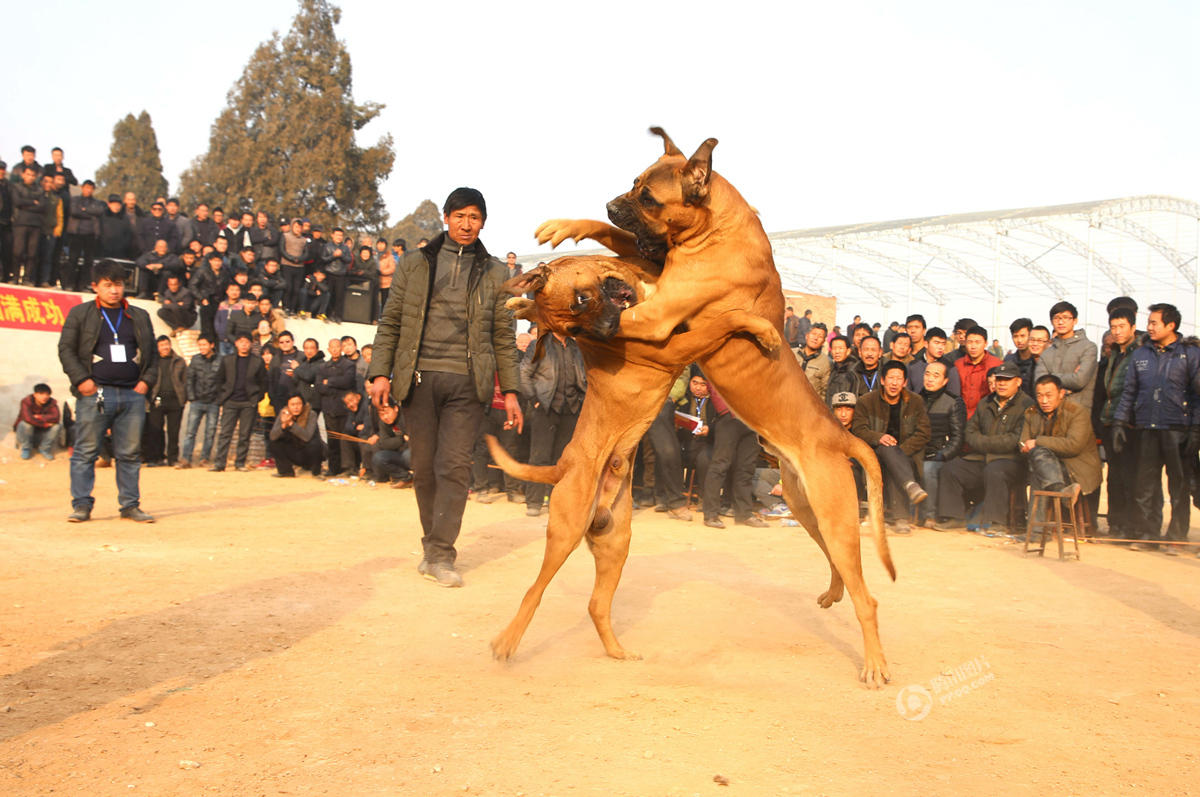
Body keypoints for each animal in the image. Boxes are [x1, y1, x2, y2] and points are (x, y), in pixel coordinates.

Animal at [530, 127, 897, 686]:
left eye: (647, 197)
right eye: (632, 182)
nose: (611, 202)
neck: (719, 229)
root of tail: (841, 434)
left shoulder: (659, 310)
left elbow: (624, 306)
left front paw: (561, 308)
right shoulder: (654, 269)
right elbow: (613, 241)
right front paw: (568, 229)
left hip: (832, 512)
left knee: (868, 598)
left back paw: (874, 663)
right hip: (807, 506)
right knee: (840, 564)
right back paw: (833, 591)